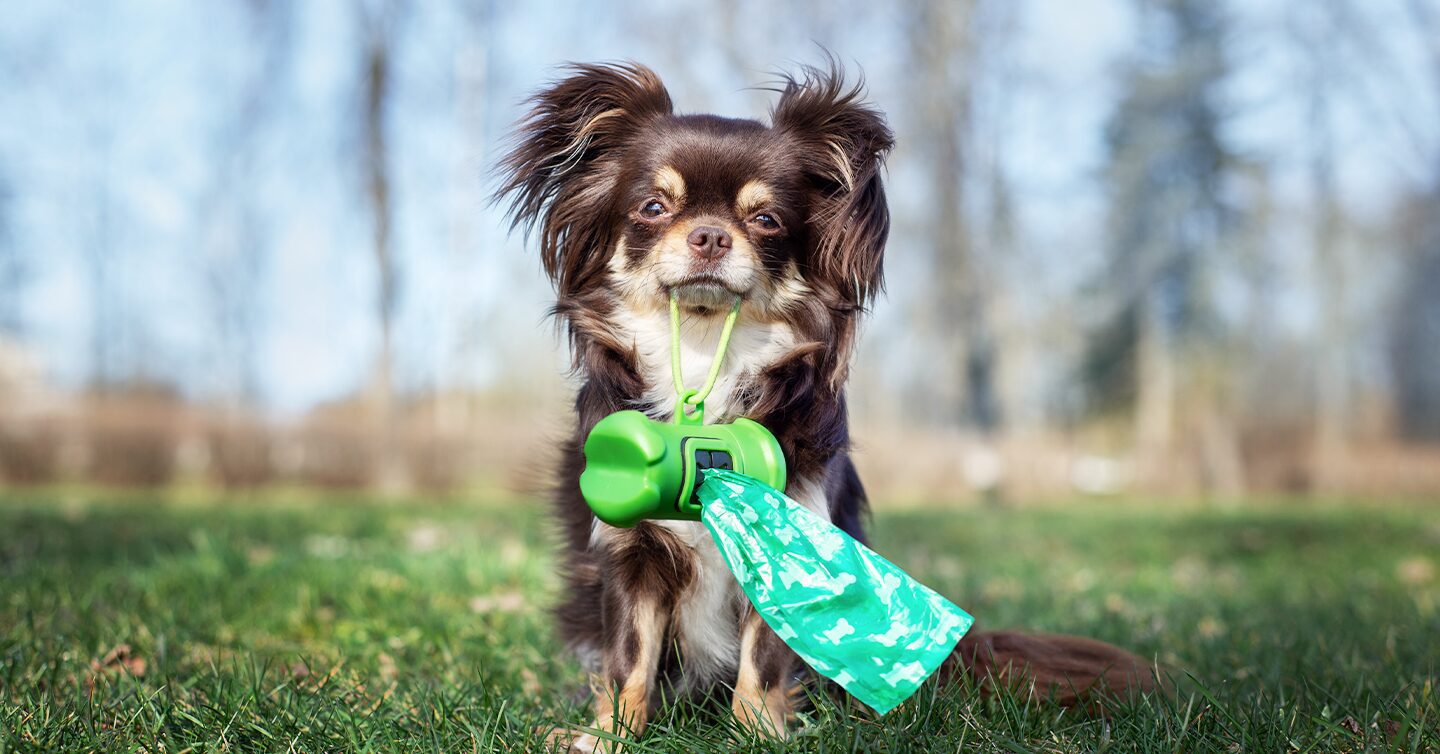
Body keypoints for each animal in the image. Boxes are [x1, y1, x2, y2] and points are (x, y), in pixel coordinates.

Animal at [501, 60, 1152, 754]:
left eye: (766, 220)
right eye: (653, 207)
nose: (709, 235)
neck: (705, 357)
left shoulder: (792, 537)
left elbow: (763, 661)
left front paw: (759, 732)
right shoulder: (633, 555)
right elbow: (630, 657)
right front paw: (612, 735)